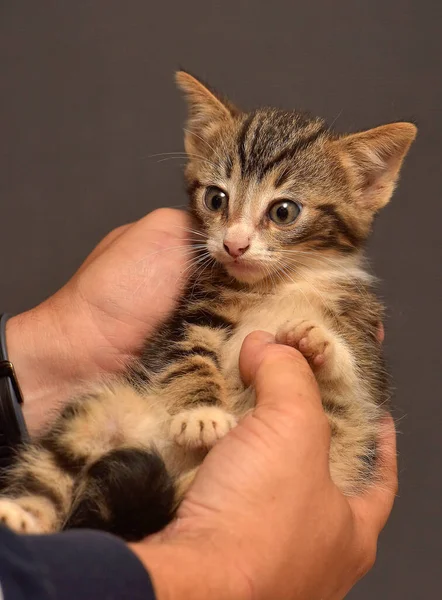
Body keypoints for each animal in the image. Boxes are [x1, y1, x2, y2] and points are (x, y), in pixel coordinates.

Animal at [0, 72, 416, 540]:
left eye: (284, 211)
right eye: (216, 199)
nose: (234, 245)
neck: (278, 285)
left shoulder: (362, 357)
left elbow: (354, 381)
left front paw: (314, 339)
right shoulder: (189, 317)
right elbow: (189, 357)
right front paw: (202, 414)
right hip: (104, 408)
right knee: (55, 461)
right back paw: (21, 515)